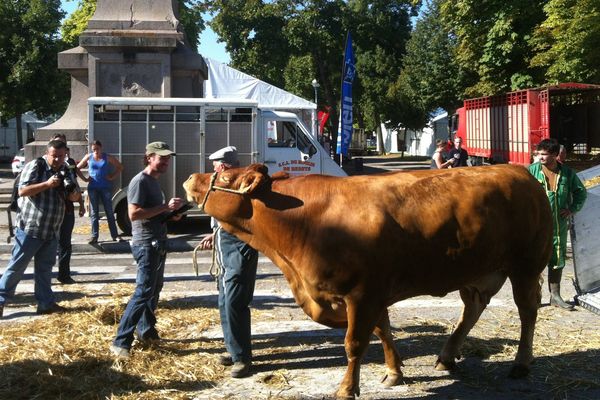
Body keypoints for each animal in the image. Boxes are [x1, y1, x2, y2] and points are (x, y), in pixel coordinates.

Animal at [183, 164, 552, 398]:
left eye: (225, 175)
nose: (189, 178)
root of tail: (518, 170)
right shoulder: (373, 293)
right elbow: (383, 331)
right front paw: (394, 373)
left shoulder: (362, 294)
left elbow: (355, 343)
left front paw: (348, 389)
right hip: (476, 270)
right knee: (472, 309)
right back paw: (447, 357)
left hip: (527, 265)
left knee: (527, 312)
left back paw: (521, 364)